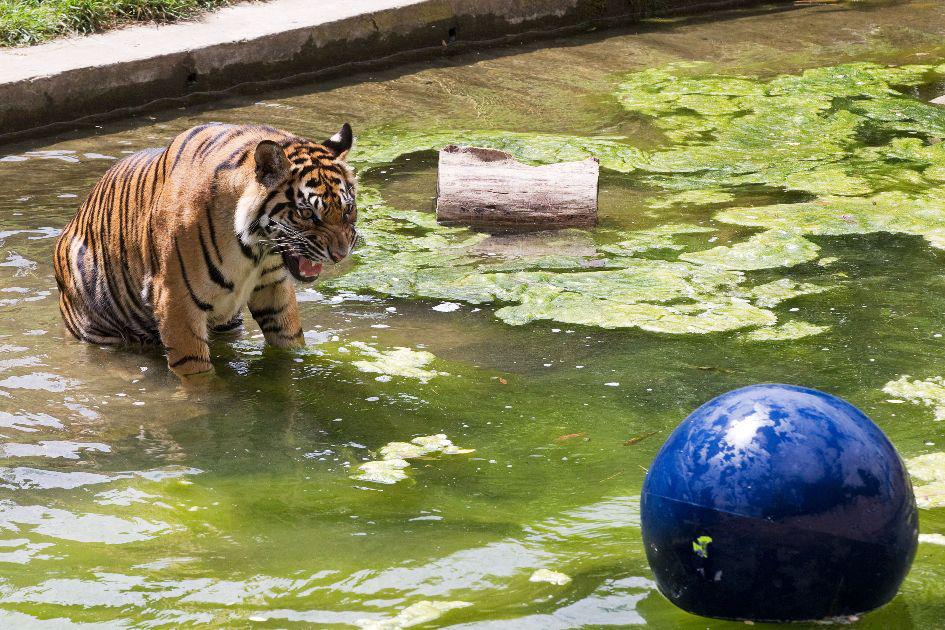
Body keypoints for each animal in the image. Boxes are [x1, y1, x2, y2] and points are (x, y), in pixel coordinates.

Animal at [54, 124, 358, 380]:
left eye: (348, 209)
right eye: (306, 213)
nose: (340, 254)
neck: (255, 249)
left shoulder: (273, 285)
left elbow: (289, 338)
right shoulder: (175, 301)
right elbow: (196, 373)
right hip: (99, 327)